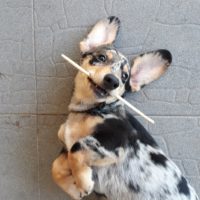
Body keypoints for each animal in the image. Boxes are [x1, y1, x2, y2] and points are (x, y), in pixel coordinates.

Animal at [51, 16, 198, 200]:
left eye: (124, 76)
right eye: (101, 57)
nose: (112, 81)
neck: (88, 111)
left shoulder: (116, 139)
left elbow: (77, 148)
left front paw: (84, 182)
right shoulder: (67, 145)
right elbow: (56, 165)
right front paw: (74, 188)